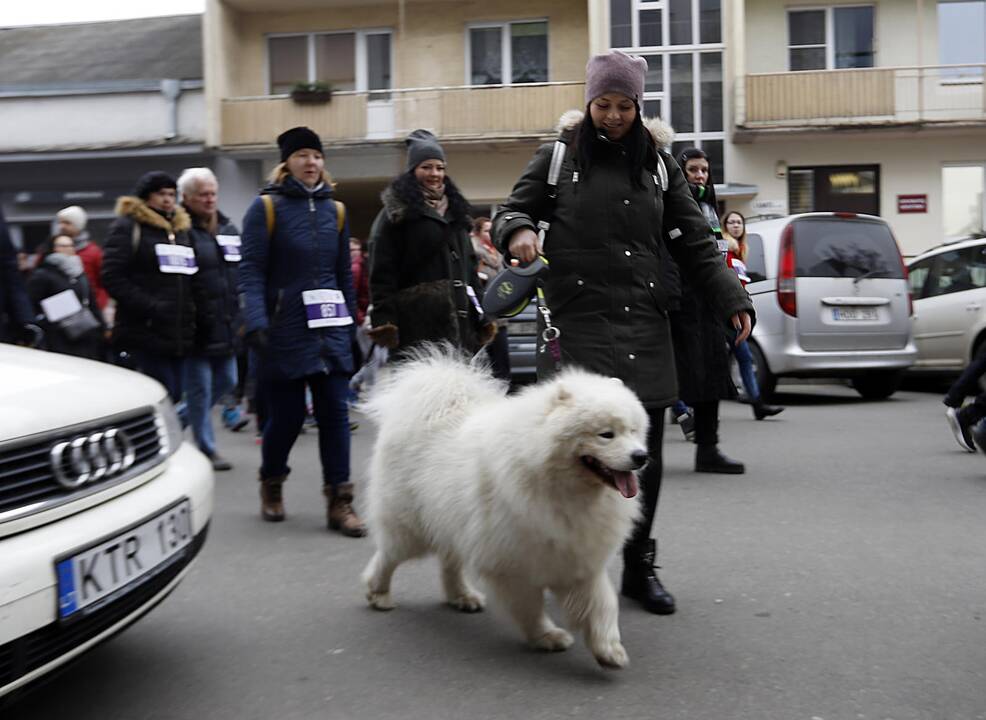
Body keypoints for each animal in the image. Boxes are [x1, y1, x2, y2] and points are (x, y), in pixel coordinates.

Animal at [358, 346, 648, 668]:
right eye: (606, 434)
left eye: (633, 431)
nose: (641, 456)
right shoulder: (512, 563)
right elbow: (529, 607)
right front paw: (547, 636)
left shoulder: (577, 557)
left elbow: (602, 604)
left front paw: (608, 648)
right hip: (411, 528)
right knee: (388, 556)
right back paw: (378, 592)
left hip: (453, 522)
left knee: (449, 561)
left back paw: (461, 596)